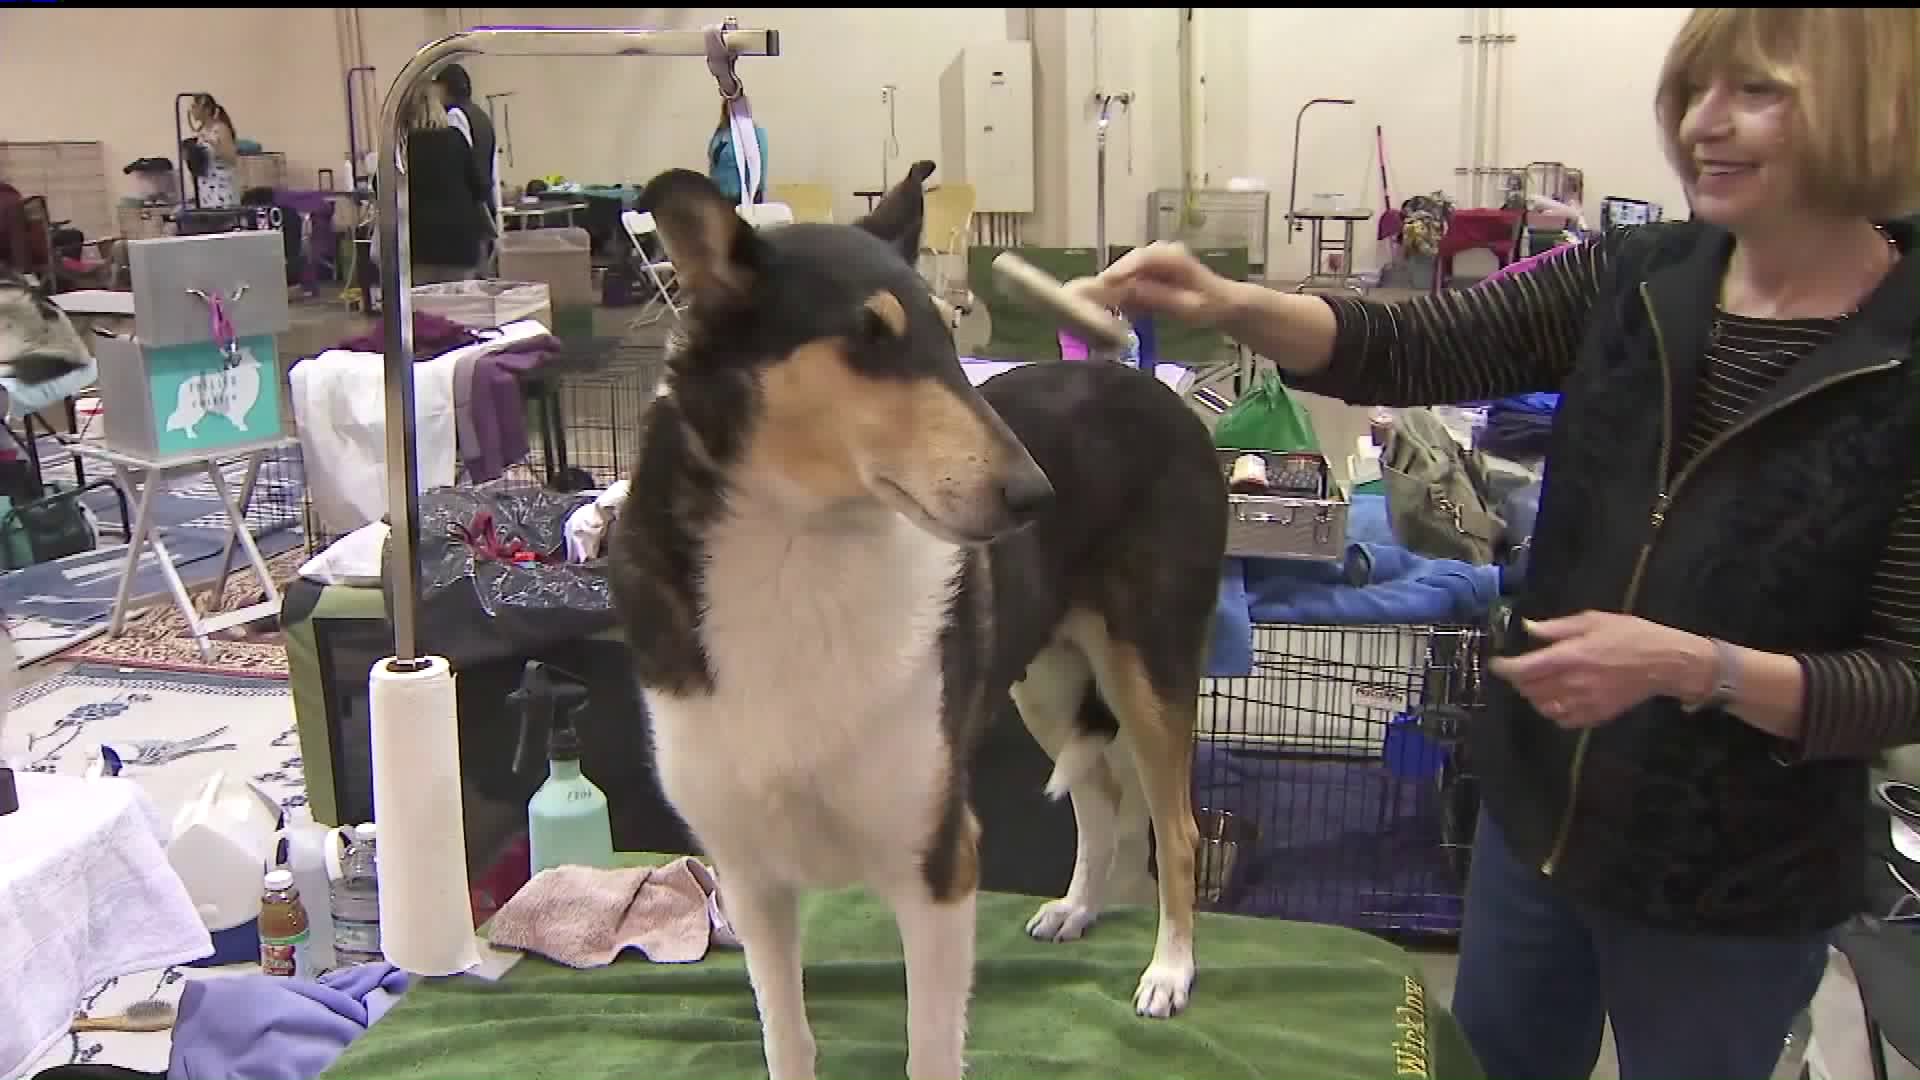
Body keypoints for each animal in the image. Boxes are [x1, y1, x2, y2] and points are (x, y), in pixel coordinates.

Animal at [602, 168, 1228, 1076]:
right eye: (868, 336)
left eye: (947, 332)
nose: (1035, 496)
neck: (800, 559)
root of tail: (1137, 377)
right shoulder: (752, 881)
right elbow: (787, 1038)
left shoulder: (938, 865)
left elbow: (929, 1050)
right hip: (1045, 680)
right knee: (1101, 794)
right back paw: (1076, 908)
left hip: (1149, 669)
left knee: (1177, 831)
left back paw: (1169, 972)